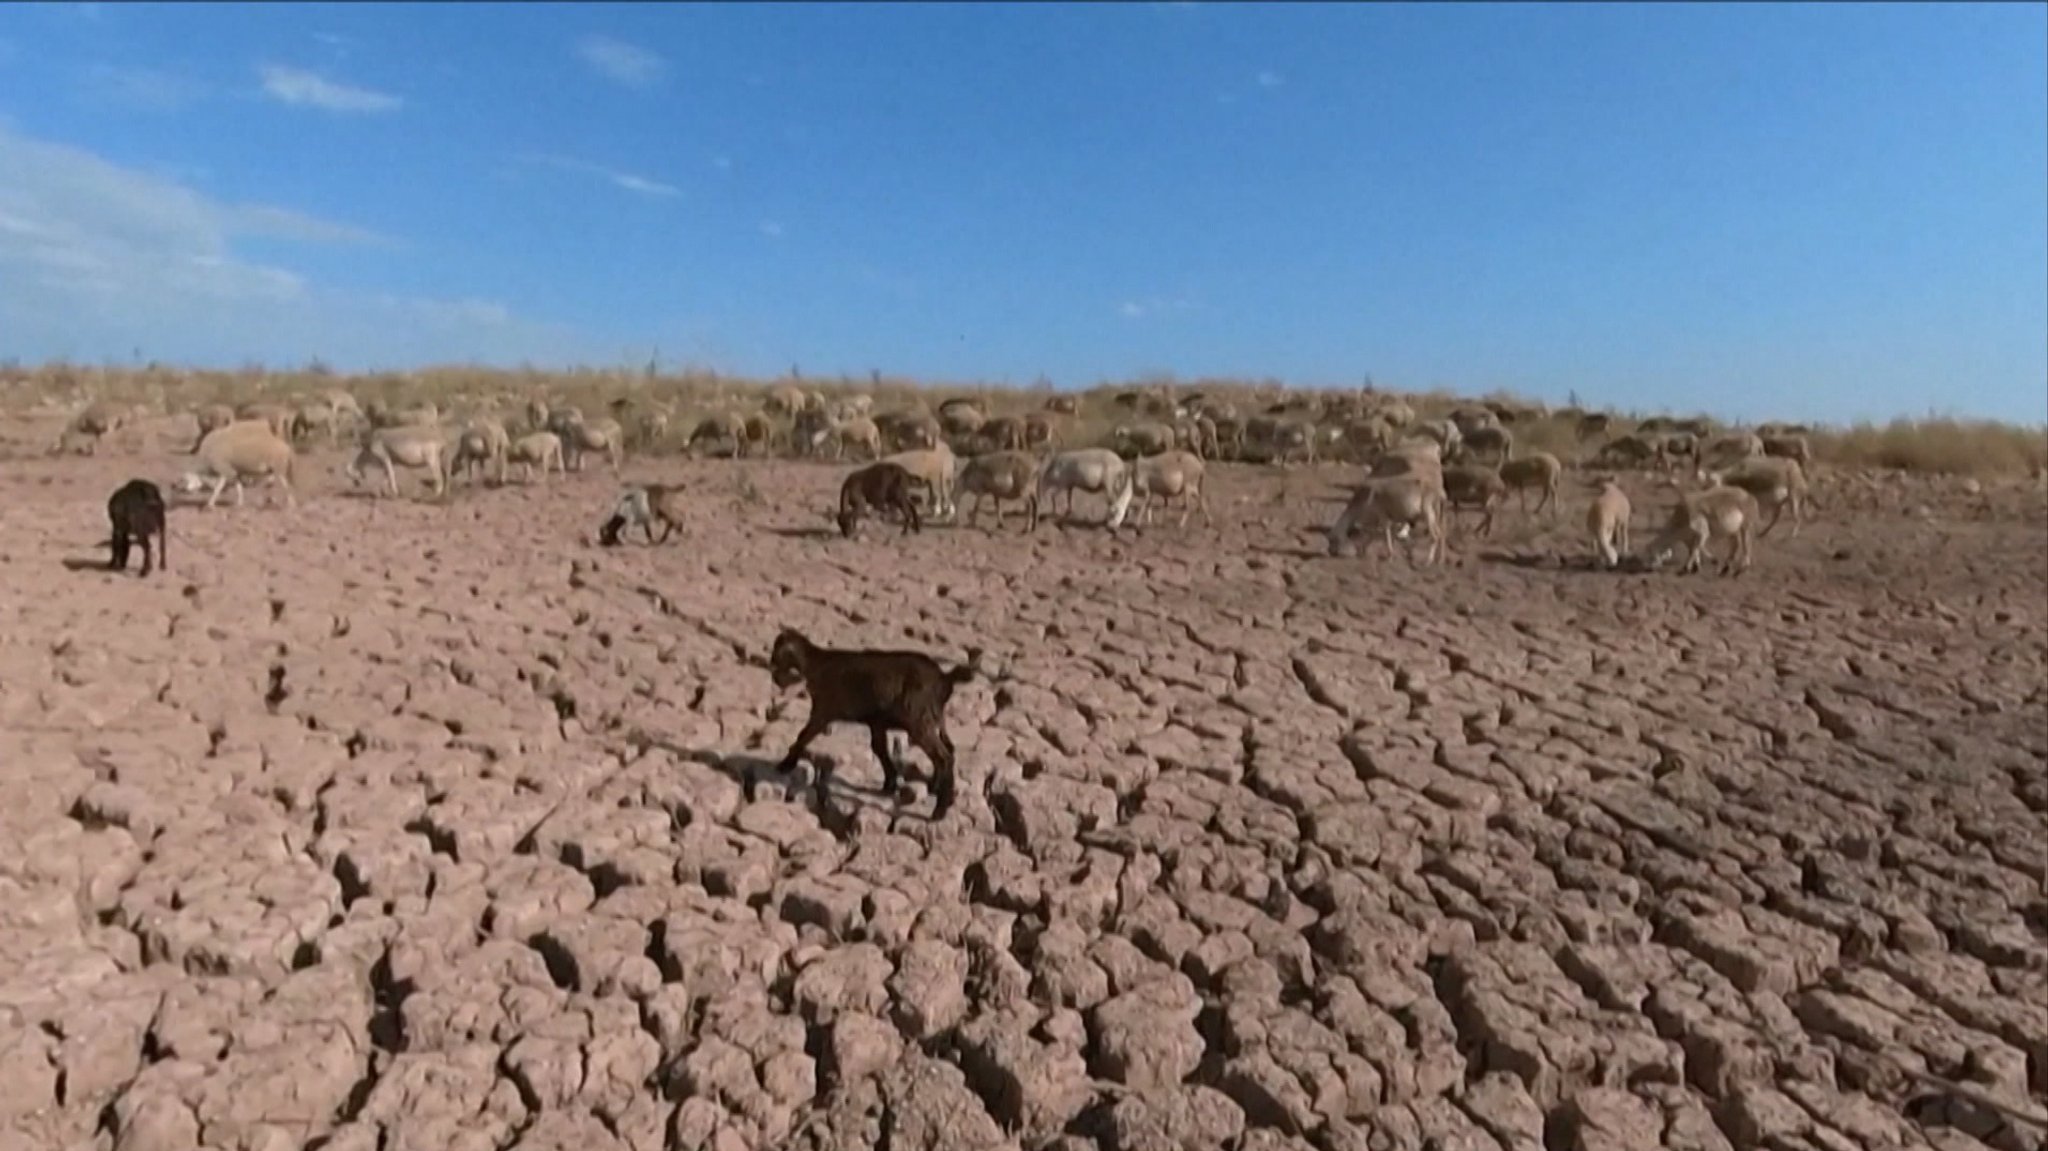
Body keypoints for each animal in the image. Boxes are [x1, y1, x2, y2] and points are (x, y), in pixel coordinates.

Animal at [753, 626, 983, 815]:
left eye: (778, 648)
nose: (772, 665)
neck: (817, 663)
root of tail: (945, 678)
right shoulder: (876, 722)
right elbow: (879, 748)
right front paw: (890, 783)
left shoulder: (823, 711)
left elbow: (804, 735)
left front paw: (785, 764)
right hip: (934, 719)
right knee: (948, 750)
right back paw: (938, 791)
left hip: (918, 720)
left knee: (943, 756)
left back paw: (939, 811)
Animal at [1318, 473, 1449, 561]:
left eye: (1331, 539)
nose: (1330, 552)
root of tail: (1441, 494)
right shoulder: (1380, 518)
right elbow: (1373, 533)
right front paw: (1362, 550)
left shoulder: (1381, 514)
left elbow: (1384, 532)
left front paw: (1390, 554)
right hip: (1437, 515)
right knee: (1441, 534)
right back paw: (1440, 560)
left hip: (1428, 512)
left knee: (1435, 536)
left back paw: (1428, 561)